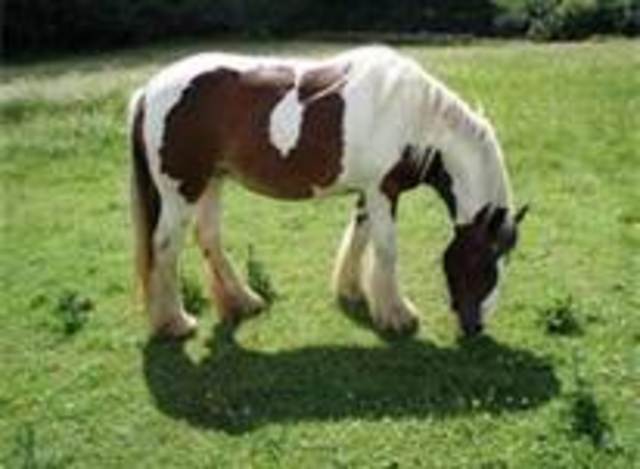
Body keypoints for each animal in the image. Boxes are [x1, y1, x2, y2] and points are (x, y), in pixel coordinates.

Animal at [128, 45, 528, 340]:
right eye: (483, 261)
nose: (475, 327)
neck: (413, 119)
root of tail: (149, 91)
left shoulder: (370, 191)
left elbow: (361, 236)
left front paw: (354, 291)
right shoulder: (383, 190)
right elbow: (386, 247)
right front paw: (398, 315)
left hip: (212, 181)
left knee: (209, 238)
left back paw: (244, 301)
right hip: (182, 190)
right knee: (165, 247)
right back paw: (175, 322)